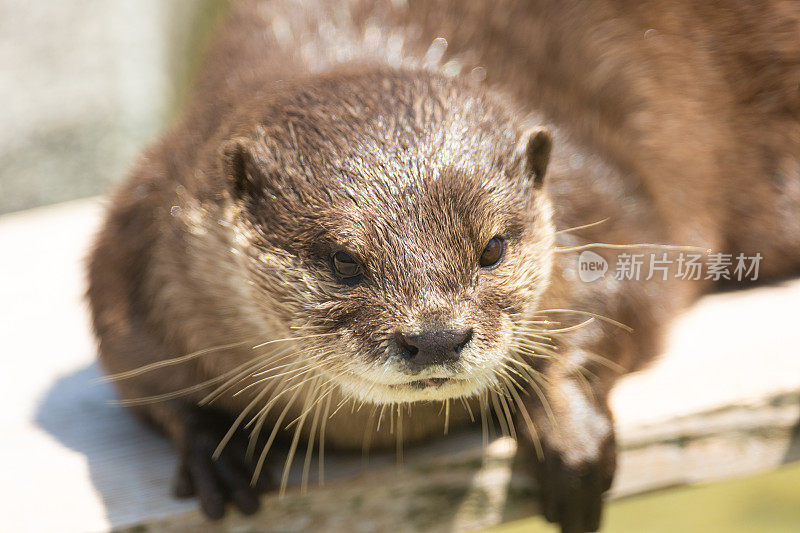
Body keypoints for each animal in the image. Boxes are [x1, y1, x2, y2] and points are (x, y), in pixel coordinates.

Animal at [87, 1, 800, 532]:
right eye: (343, 260)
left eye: (492, 249)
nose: (435, 336)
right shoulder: (134, 252)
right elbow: (142, 383)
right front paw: (214, 450)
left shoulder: (609, 210)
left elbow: (624, 310)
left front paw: (567, 434)